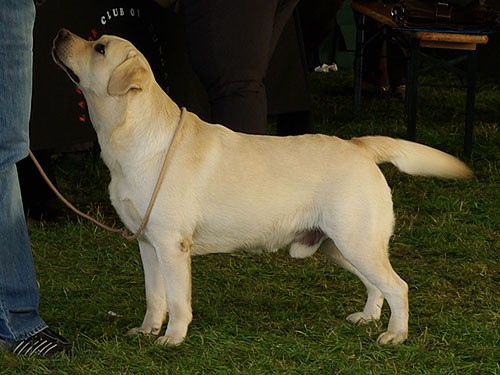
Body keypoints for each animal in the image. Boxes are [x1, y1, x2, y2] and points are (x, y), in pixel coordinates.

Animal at [52, 28, 470, 346]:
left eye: (99, 47)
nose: (59, 33)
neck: (132, 137)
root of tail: (359, 145)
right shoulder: (147, 242)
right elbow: (155, 297)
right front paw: (146, 330)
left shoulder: (171, 245)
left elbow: (178, 299)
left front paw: (172, 339)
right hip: (341, 247)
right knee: (376, 286)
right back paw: (368, 318)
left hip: (357, 241)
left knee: (398, 286)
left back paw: (395, 335)